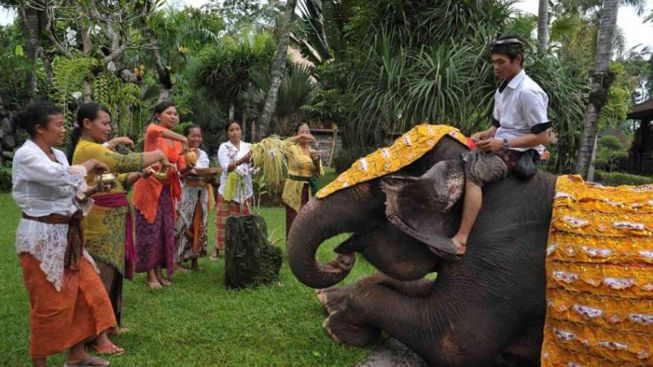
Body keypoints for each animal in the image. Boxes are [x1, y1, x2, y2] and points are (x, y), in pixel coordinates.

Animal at [286, 136, 556, 367]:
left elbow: (453, 343)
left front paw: (338, 327)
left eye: (375, 189)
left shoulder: (505, 258)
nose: (340, 259)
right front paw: (329, 298)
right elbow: (421, 286)